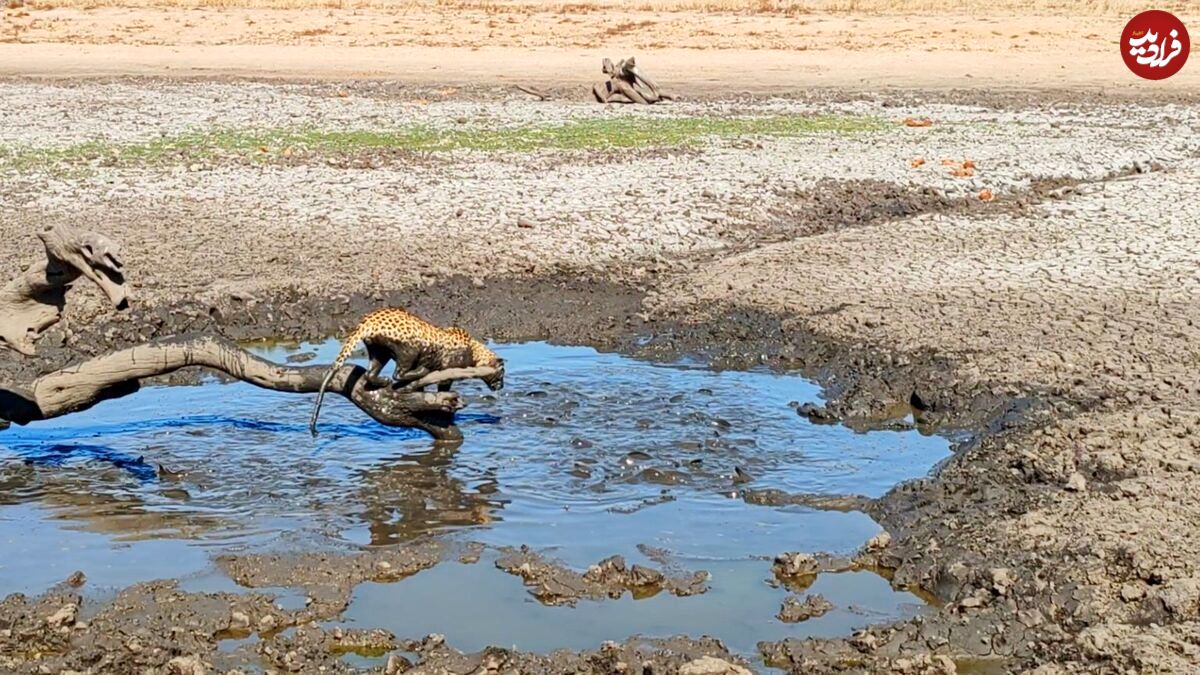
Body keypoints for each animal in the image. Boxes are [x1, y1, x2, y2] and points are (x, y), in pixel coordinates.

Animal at [307, 306, 504, 437]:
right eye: (502, 372)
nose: (501, 386)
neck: (475, 351)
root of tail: (369, 320)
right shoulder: (448, 369)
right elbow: (444, 387)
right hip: (408, 350)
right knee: (398, 373)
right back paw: (419, 371)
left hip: (379, 351)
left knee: (370, 374)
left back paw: (383, 381)